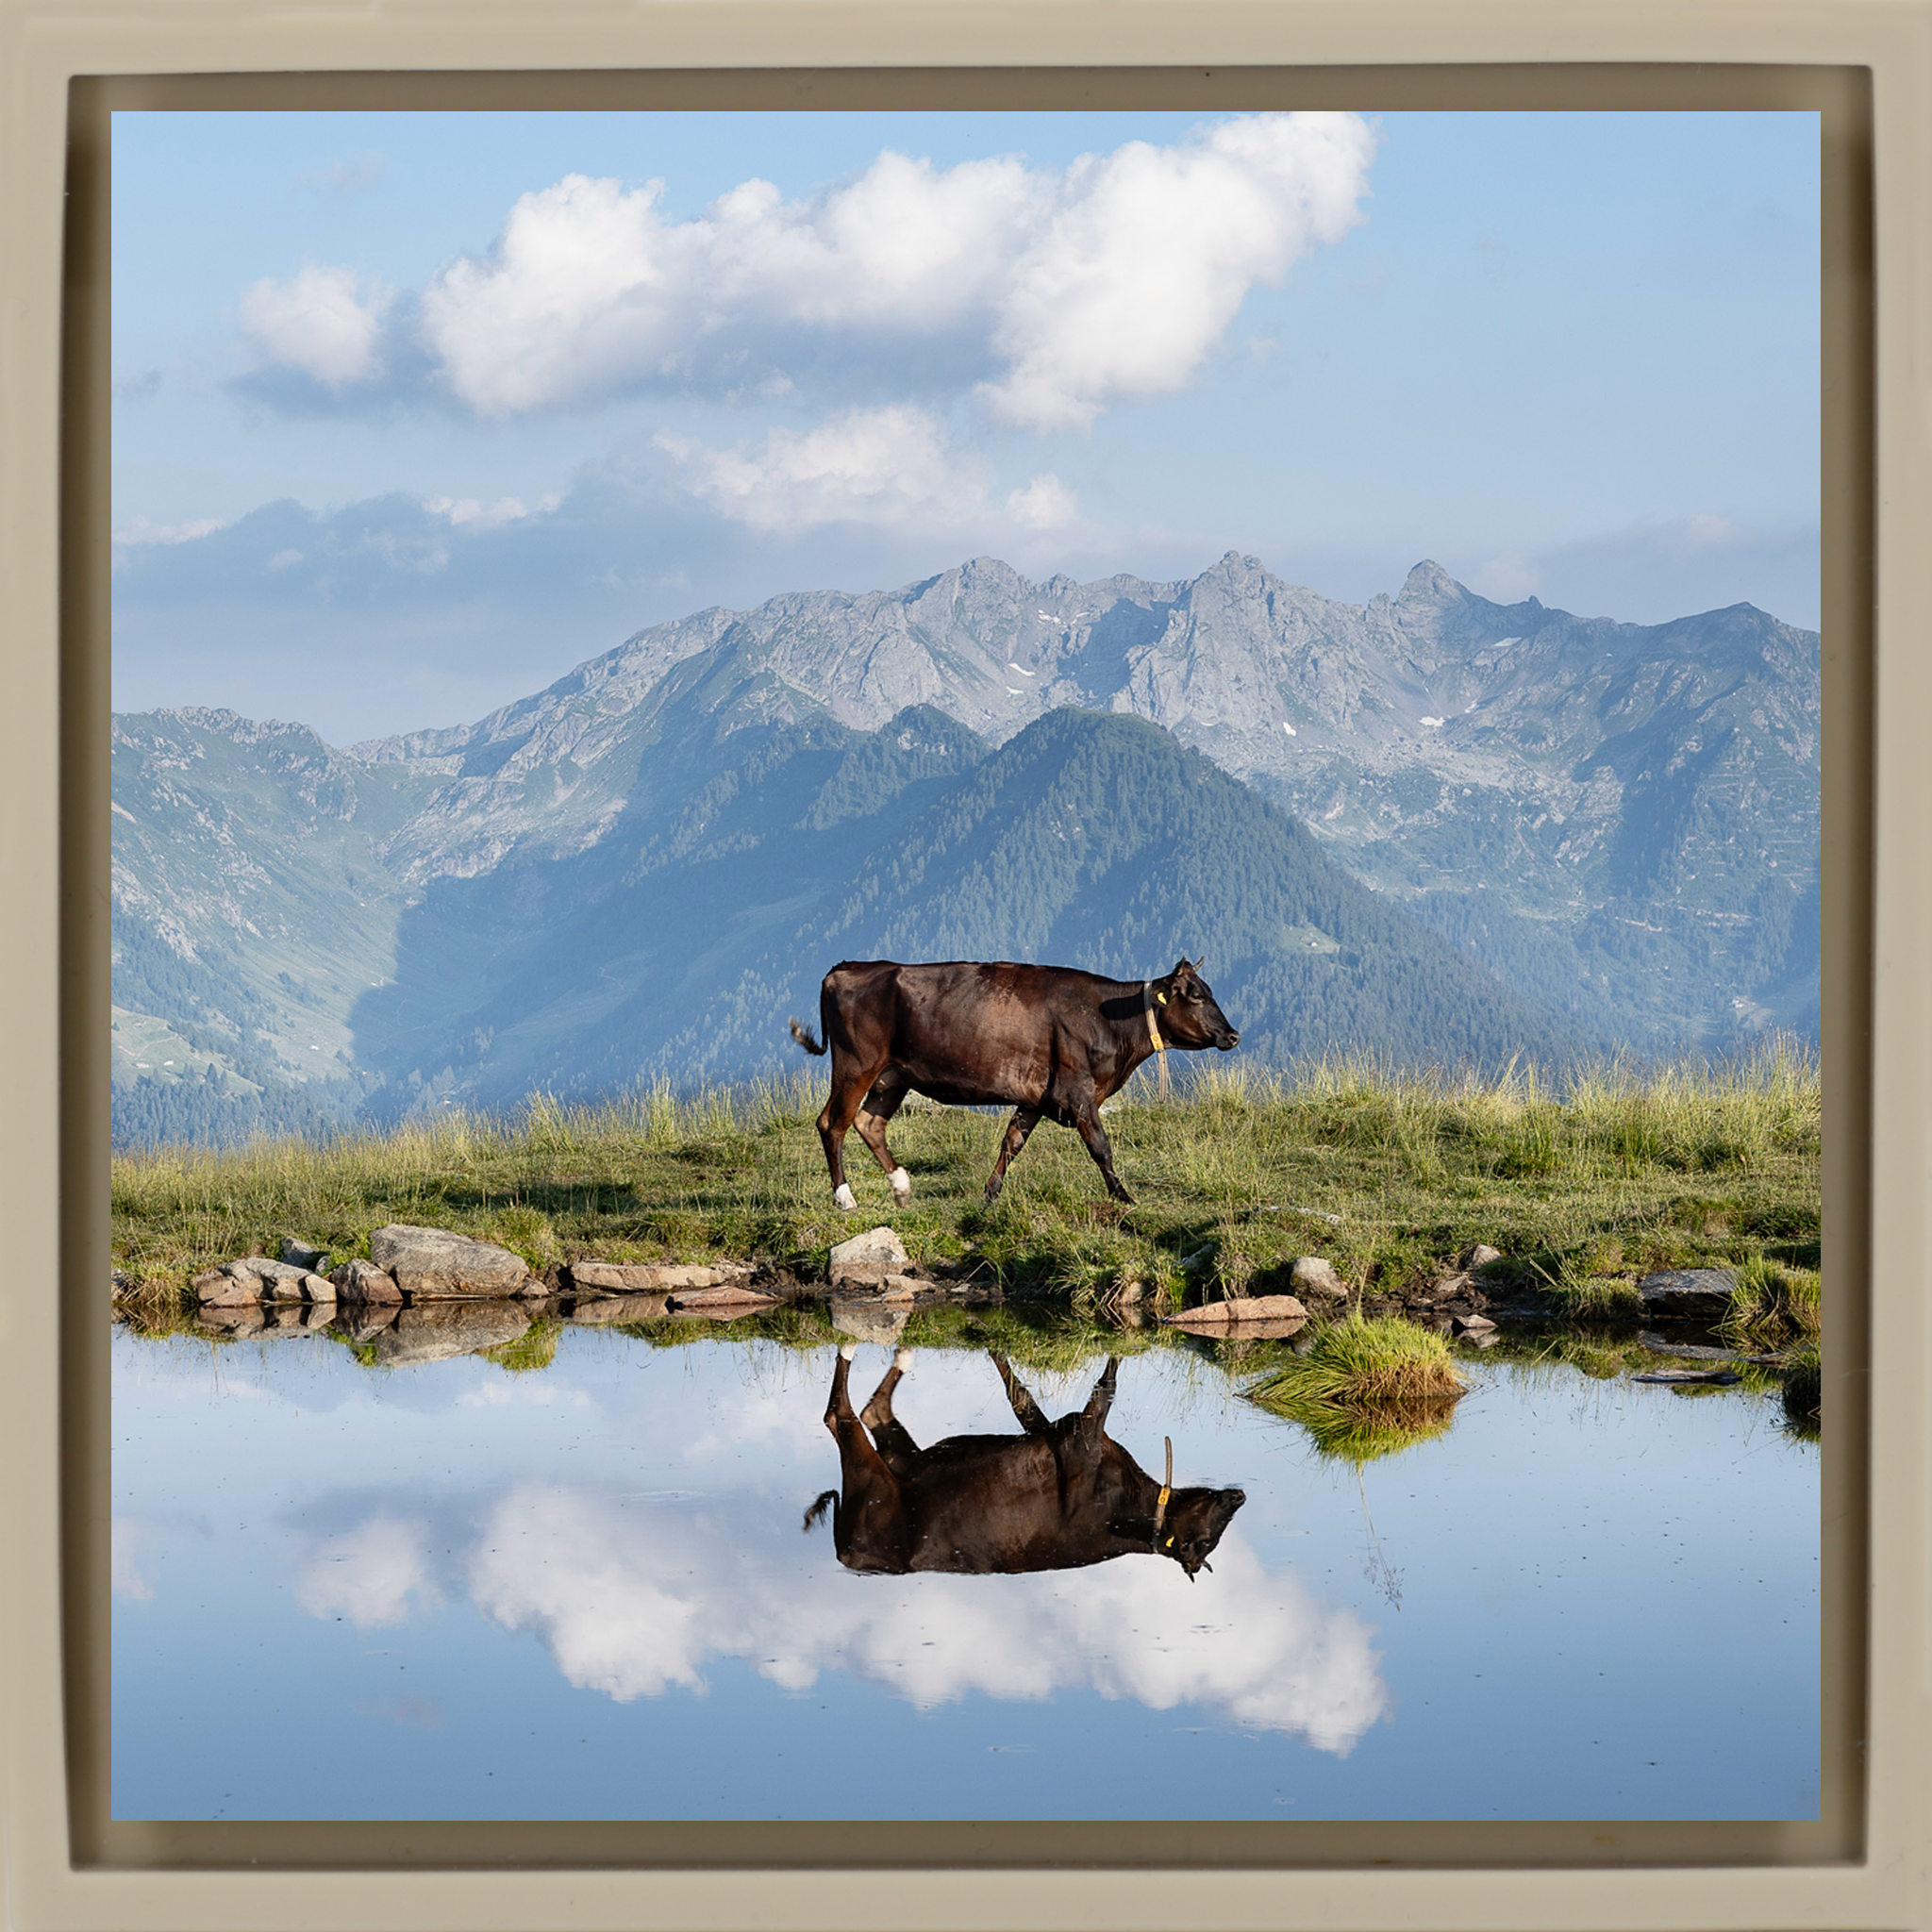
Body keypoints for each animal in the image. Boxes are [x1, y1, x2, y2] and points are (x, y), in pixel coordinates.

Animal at [786, 957, 1238, 1209]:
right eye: (1196, 996)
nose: (1233, 1035)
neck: (1108, 1019)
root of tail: (847, 968)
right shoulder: (1078, 1092)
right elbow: (1101, 1147)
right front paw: (1124, 1196)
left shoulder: (1037, 1098)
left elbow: (1012, 1142)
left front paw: (990, 1194)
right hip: (856, 1064)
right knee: (833, 1124)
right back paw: (845, 1198)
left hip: (892, 1077)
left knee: (869, 1124)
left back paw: (901, 1187)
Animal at [804, 1347, 1247, 1581]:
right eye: (1205, 1540)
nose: (1240, 1495)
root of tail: (846, 1554)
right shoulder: (1075, 1435)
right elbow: (1075, 1388)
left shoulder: (1071, 1435)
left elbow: (1033, 1395)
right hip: (879, 1478)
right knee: (845, 1413)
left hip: (888, 1471)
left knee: (857, 1412)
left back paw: (891, 1354)